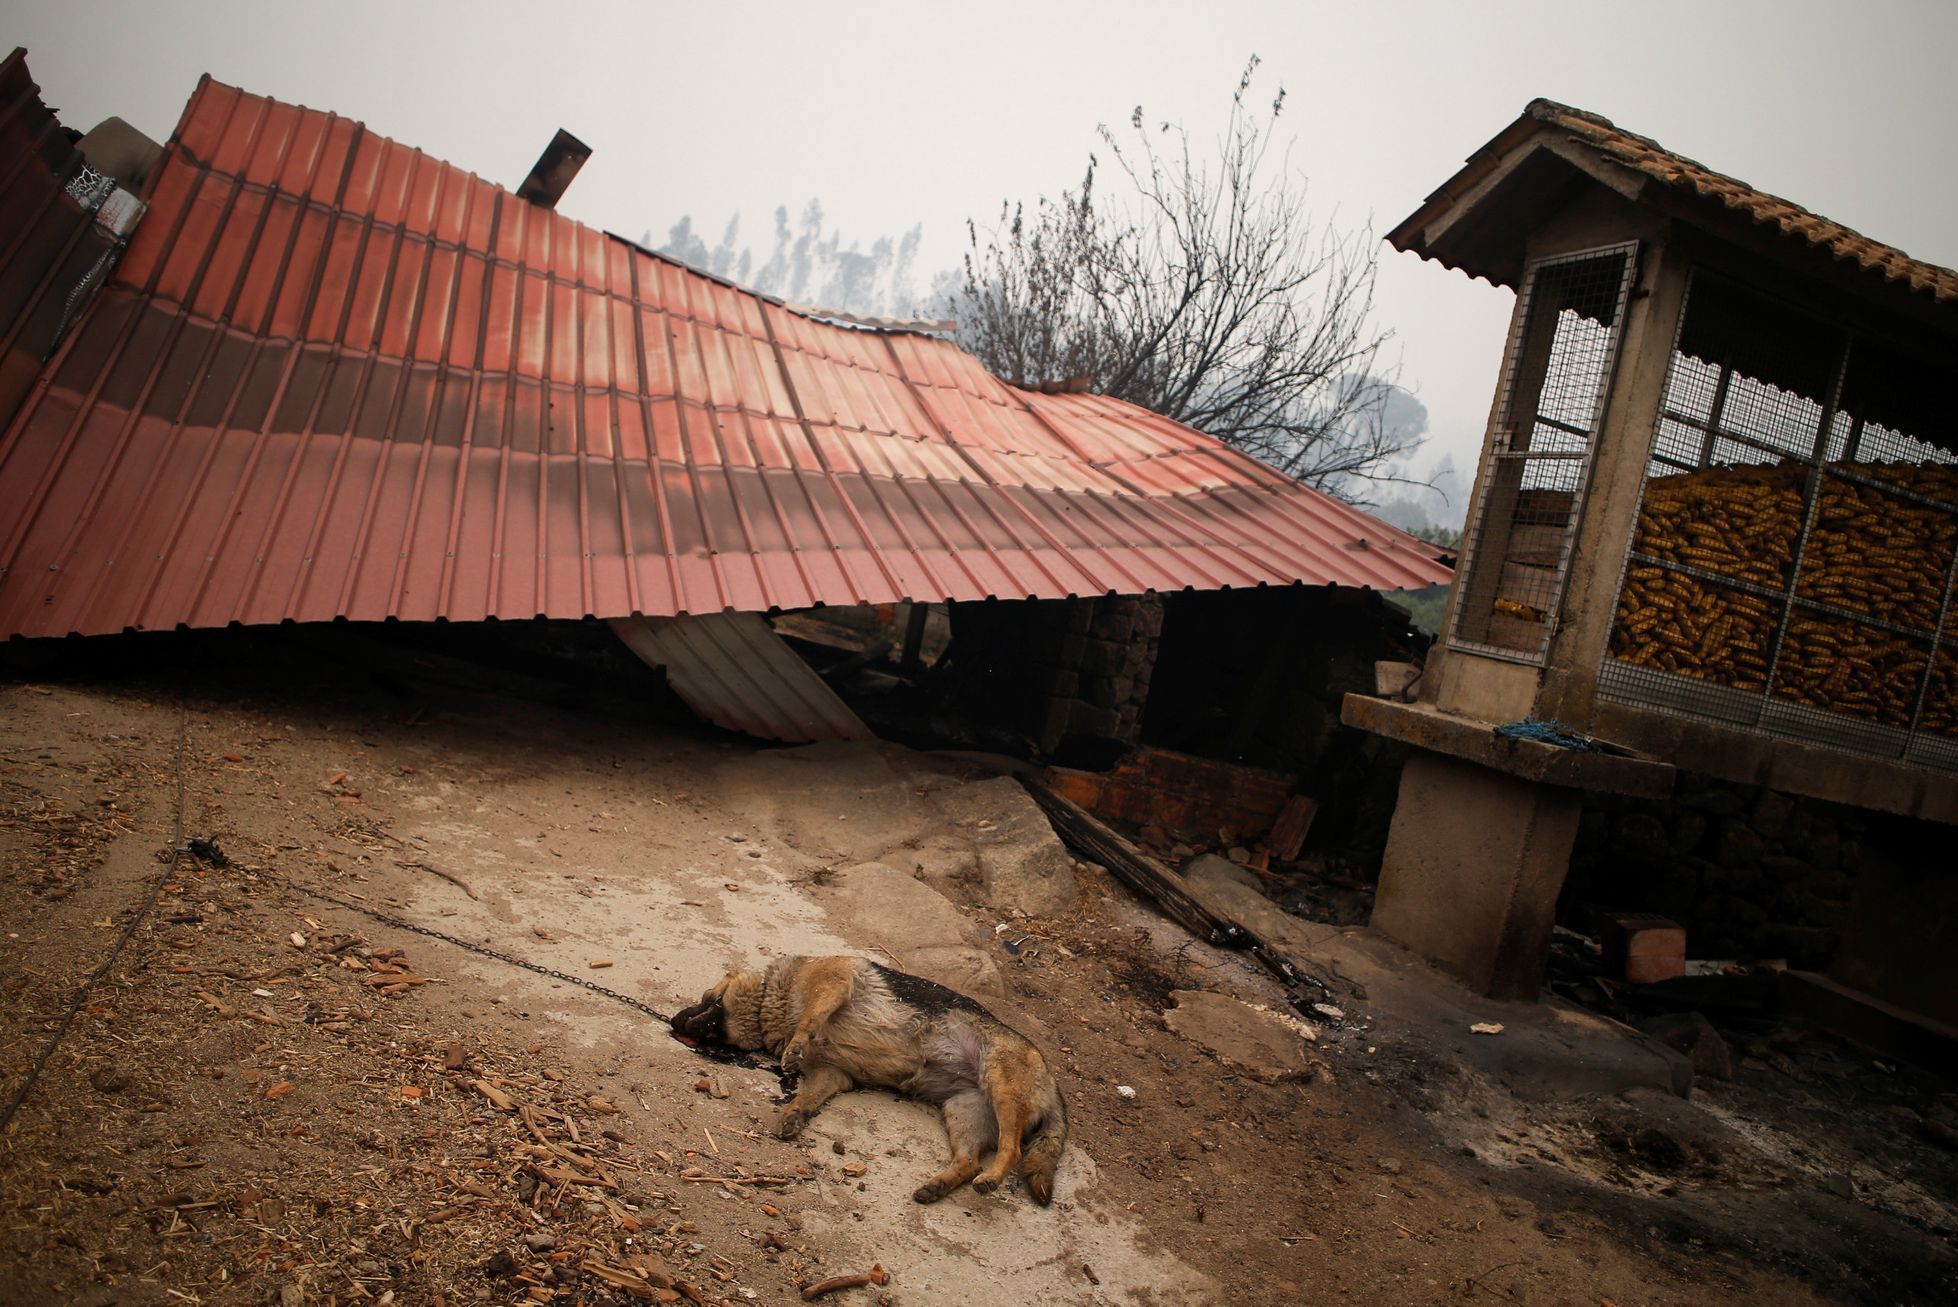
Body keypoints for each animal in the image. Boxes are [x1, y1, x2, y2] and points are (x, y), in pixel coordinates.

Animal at [673, 950, 1072, 1205]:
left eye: (707, 998)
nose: (673, 1021)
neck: (771, 1000)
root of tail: (1054, 1084)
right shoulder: (832, 1074)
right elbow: (807, 1096)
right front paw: (795, 1114)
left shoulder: (833, 982)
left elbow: (810, 1019)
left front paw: (797, 1045)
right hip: (963, 1113)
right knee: (970, 1160)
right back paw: (937, 1186)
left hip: (1001, 1087)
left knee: (1012, 1149)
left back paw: (990, 1179)